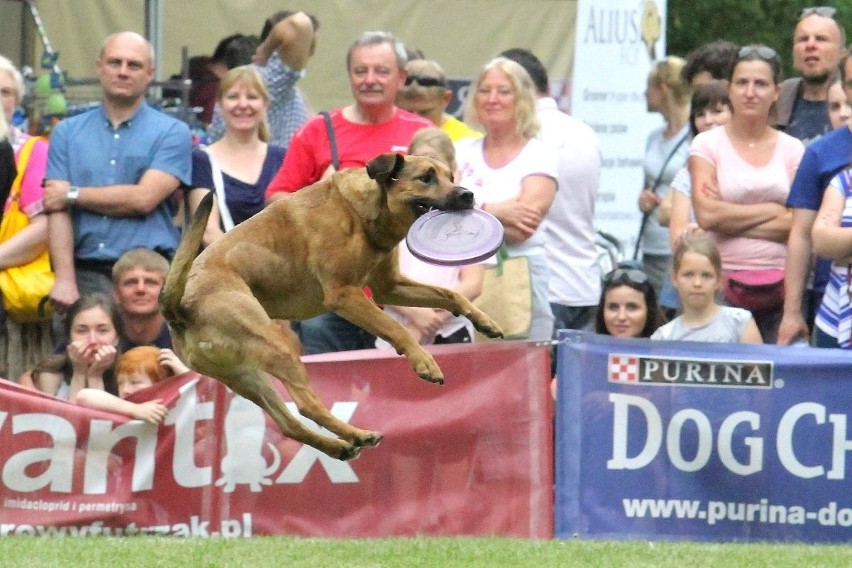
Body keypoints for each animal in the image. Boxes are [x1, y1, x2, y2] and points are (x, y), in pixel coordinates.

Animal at [163, 153, 502, 460]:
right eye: (426, 178)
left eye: (451, 176)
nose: (468, 195)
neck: (363, 211)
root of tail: (179, 308)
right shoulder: (345, 294)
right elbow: (396, 327)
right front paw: (424, 361)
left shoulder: (388, 286)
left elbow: (450, 295)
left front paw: (484, 321)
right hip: (276, 346)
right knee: (306, 405)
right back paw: (356, 435)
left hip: (246, 376)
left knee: (288, 424)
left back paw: (342, 444)